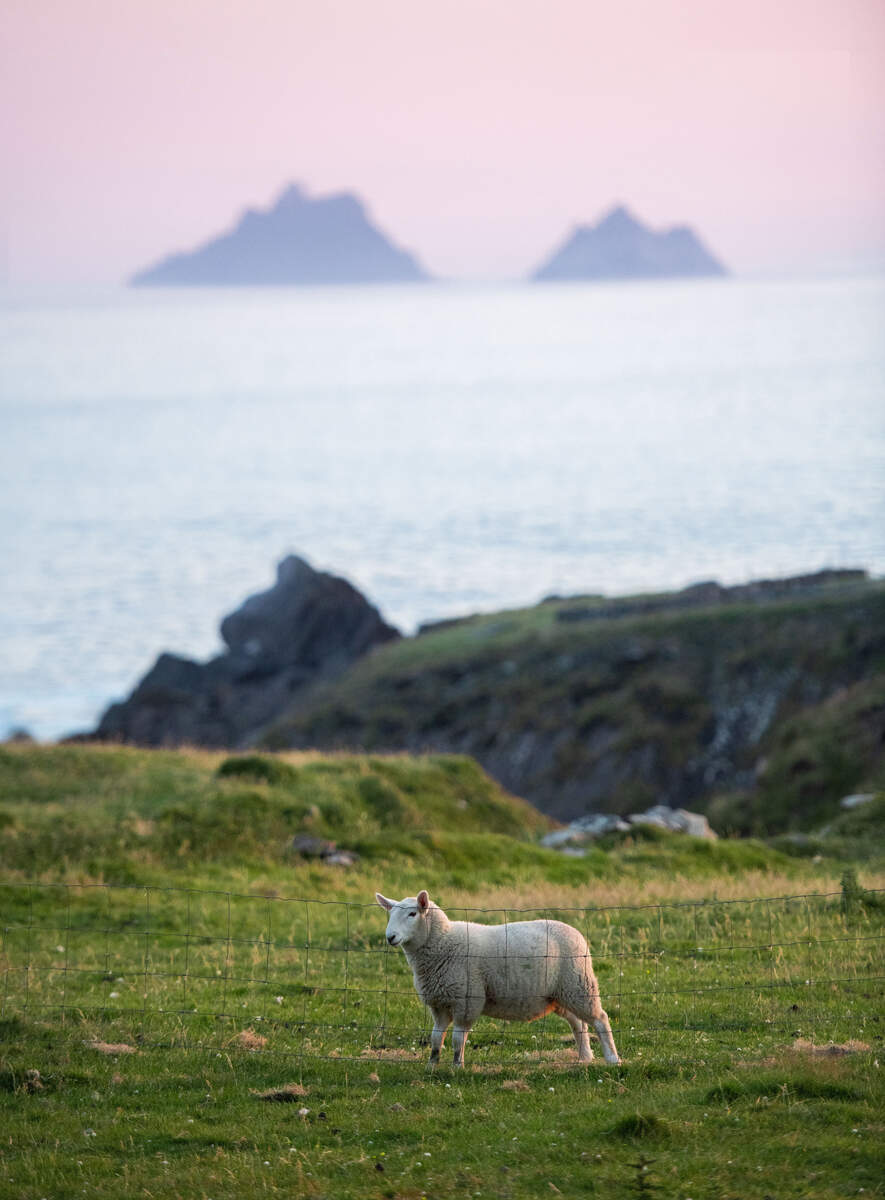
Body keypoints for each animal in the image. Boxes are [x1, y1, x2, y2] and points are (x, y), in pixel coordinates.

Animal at [374, 892, 618, 1070]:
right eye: (390, 914)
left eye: (412, 914)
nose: (390, 937)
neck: (443, 942)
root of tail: (577, 933)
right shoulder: (439, 1003)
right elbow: (436, 1038)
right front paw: (432, 1066)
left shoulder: (466, 1000)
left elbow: (457, 1039)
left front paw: (456, 1067)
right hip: (560, 994)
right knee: (578, 1023)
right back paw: (585, 1057)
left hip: (578, 985)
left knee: (600, 1019)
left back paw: (612, 1059)